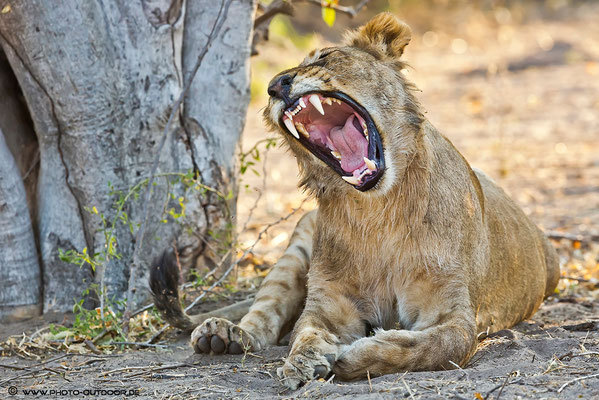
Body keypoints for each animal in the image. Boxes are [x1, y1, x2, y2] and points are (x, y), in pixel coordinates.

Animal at [151, 13, 564, 390]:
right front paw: (302, 361)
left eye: (324, 57)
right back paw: (223, 334)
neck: (378, 213)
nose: (274, 85)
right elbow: (304, 331)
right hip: (295, 251)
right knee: (264, 317)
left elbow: (437, 345)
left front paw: (358, 354)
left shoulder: (455, 313)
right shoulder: (328, 305)